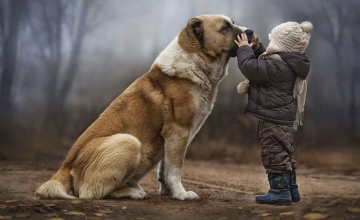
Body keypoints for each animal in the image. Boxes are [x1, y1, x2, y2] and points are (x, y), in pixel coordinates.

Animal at [35, 13, 250, 200]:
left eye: (232, 23)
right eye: (225, 27)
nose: (251, 32)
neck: (196, 60)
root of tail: (65, 166)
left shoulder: (171, 139)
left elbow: (165, 169)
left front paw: (168, 192)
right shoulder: (178, 132)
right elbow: (175, 169)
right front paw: (181, 194)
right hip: (129, 142)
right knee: (90, 193)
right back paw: (133, 192)